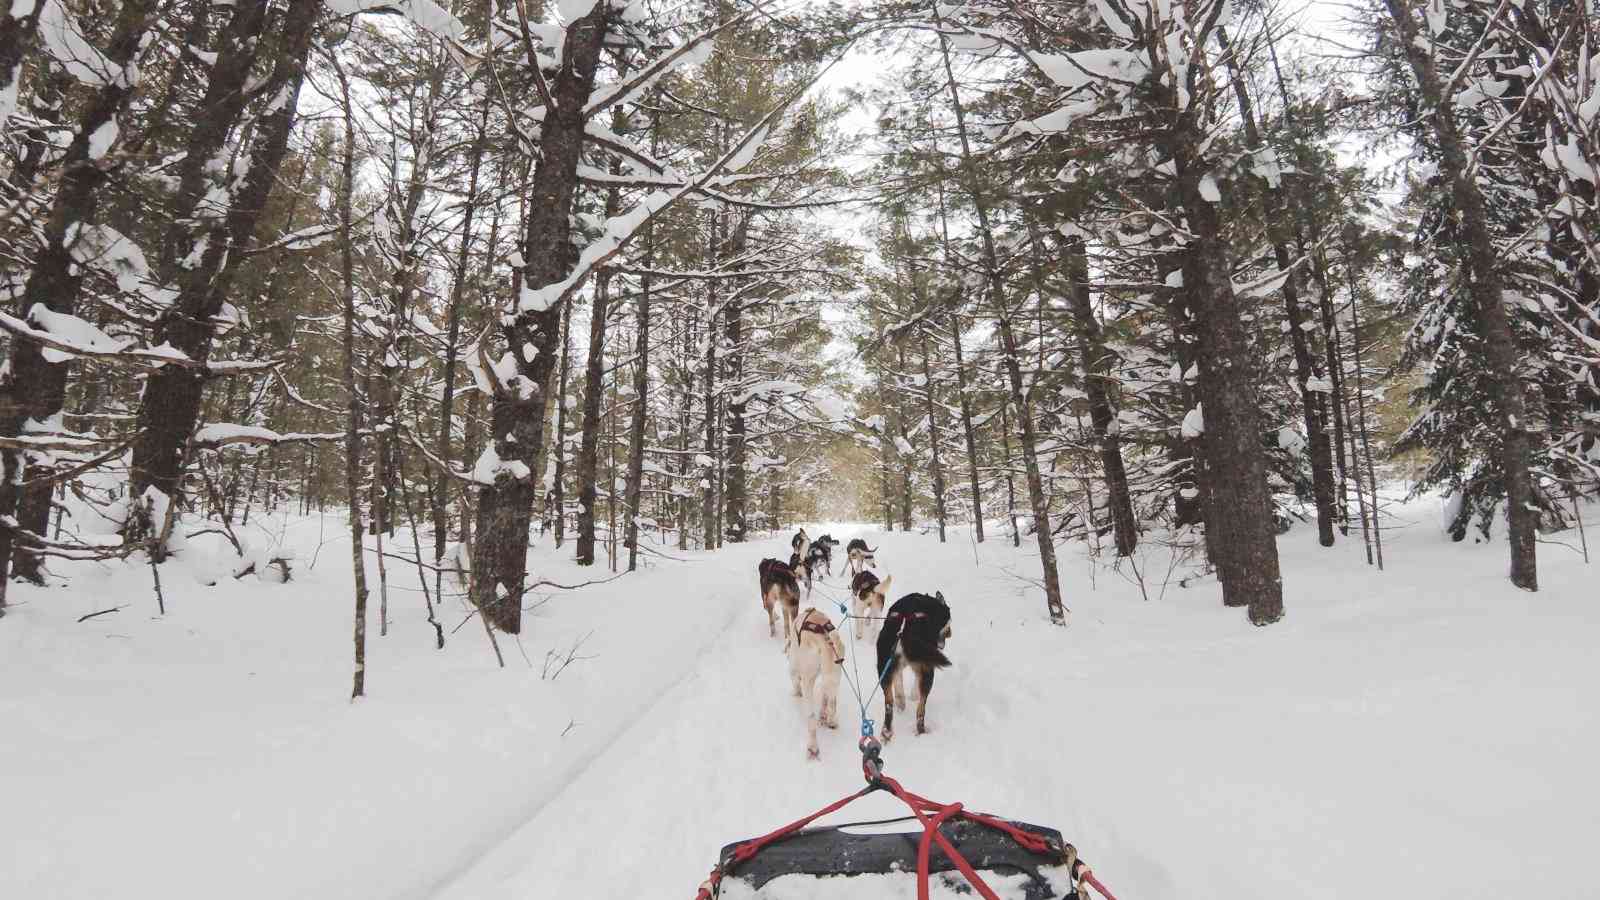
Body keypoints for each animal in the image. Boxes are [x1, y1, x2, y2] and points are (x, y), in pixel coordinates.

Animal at [876, 589, 947, 736]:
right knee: (920, 710)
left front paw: (901, 702)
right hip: (927, 671)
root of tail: (903, 631)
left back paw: (887, 732)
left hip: (883, 669)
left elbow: (898, 683)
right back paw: (922, 731)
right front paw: (913, 695)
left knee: (889, 703)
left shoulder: (896, 667)